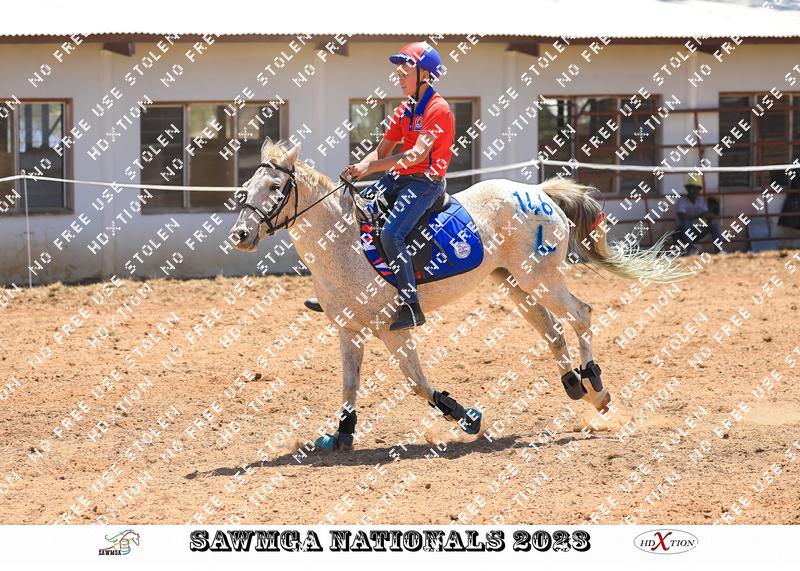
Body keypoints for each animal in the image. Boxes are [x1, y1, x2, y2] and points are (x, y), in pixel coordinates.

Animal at [228, 137, 686, 452]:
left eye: (275, 185)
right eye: (247, 185)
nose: (241, 235)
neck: (342, 242)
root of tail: (538, 192)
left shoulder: (395, 330)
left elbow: (417, 384)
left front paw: (466, 418)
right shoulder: (349, 331)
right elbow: (348, 387)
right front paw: (340, 435)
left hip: (541, 279)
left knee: (581, 314)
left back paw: (596, 386)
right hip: (515, 283)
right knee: (553, 329)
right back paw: (576, 386)